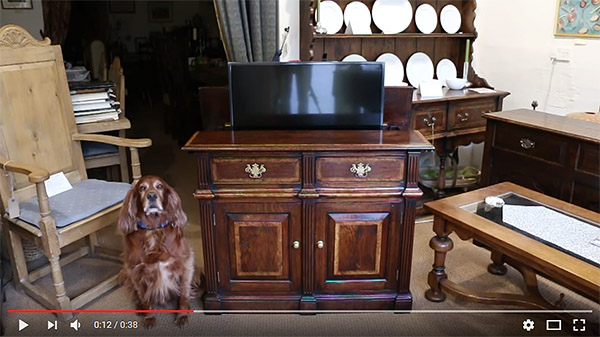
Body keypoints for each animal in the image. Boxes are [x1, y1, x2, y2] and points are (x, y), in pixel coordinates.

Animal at [117, 175, 202, 326]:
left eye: (160, 186)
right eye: (142, 188)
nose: (151, 196)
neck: (153, 228)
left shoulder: (185, 264)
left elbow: (183, 295)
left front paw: (182, 315)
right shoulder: (135, 271)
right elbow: (144, 298)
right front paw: (149, 317)